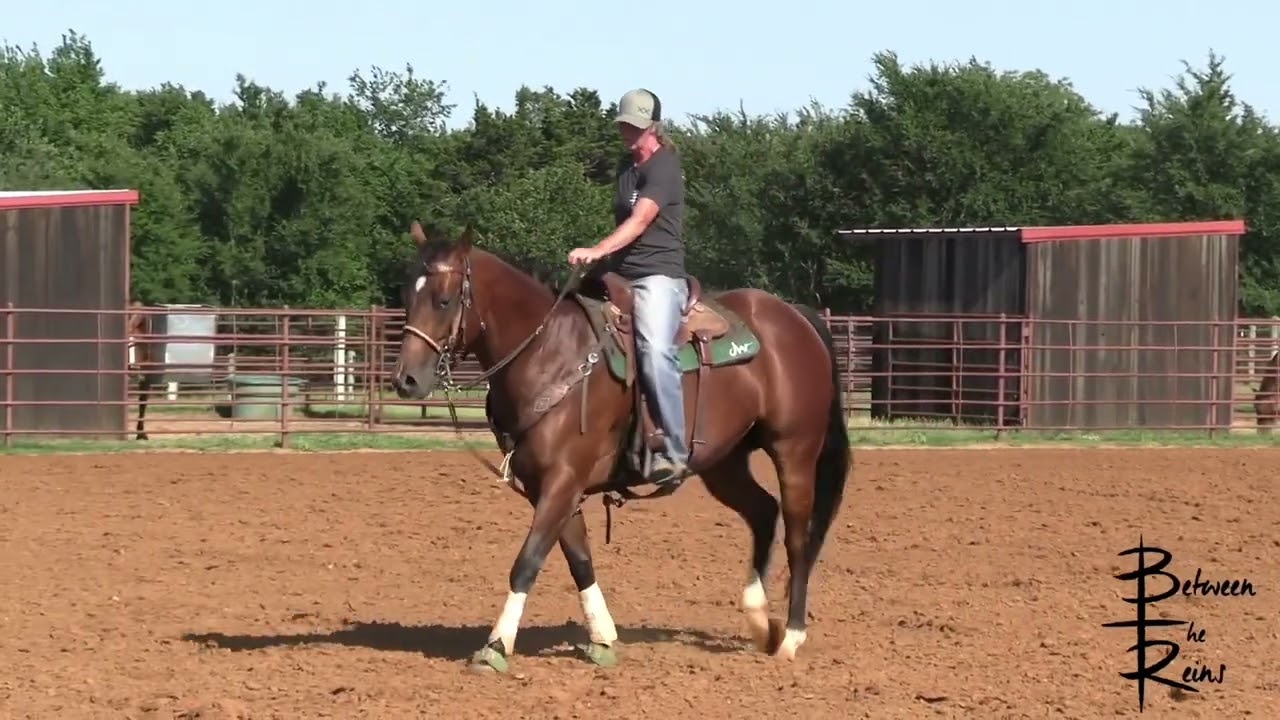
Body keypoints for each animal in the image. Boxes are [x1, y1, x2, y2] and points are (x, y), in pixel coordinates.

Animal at [391, 222, 851, 672]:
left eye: (444, 299)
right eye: (407, 298)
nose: (405, 380)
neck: (549, 354)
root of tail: (795, 316)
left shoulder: (562, 480)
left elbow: (527, 562)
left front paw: (496, 647)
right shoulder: (552, 487)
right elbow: (579, 560)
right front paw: (603, 639)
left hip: (794, 451)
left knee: (798, 537)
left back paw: (791, 637)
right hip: (725, 462)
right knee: (763, 512)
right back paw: (759, 620)